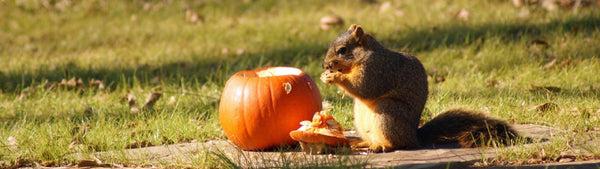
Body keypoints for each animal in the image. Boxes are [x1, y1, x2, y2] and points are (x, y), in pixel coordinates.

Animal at [322, 24, 516, 152]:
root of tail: (415, 137)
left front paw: (334, 77)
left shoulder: (377, 69)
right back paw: (363, 143)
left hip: (388, 112)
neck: (365, 56)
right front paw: (326, 76)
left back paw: (383, 145)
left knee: (399, 144)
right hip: (362, 120)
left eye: (342, 50)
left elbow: (364, 88)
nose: (325, 65)